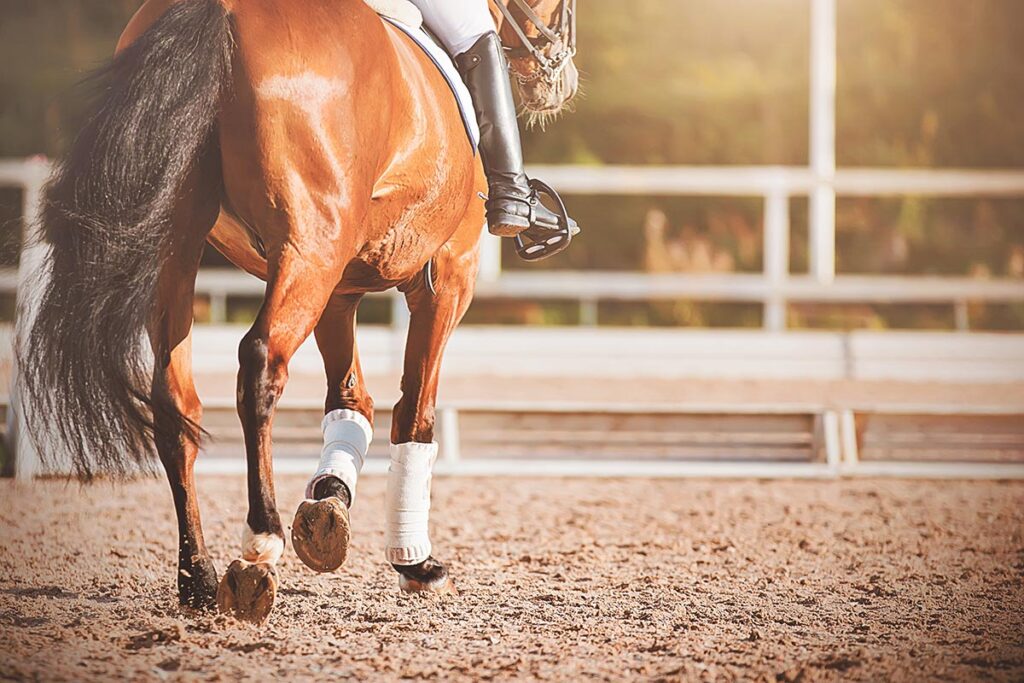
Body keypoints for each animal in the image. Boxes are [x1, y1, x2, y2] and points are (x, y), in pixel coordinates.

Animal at [19, 0, 578, 624]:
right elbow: (416, 412)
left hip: (184, 247)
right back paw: (258, 550)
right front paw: (415, 563)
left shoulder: (340, 287)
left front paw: (329, 507)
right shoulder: (448, 276)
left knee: (175, 401)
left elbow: (351, 400)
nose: (560, 79)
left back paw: (198, 578)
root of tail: (220, 11)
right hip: (311, 245)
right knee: (260, 365)